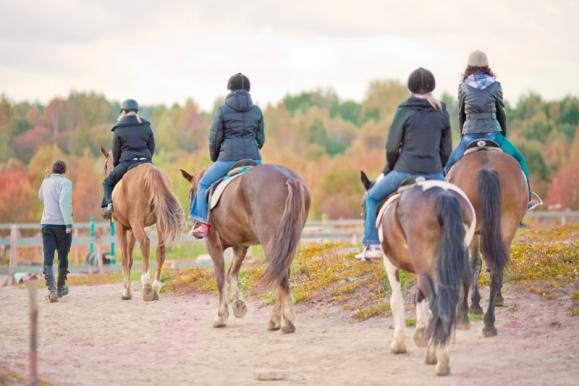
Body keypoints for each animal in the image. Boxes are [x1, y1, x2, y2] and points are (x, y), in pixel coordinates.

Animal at [101, 146, 185, 300]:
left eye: (105, 166)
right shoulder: (132, 230)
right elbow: (130, 259)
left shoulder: (121, 227)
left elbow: (124, 257)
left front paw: (126, 291)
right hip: (159, 223)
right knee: (160, 249)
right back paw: (155, 288)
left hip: (137, 223)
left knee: (145, 243)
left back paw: (146, 286)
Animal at [180, 164, 310, 334]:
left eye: (190, 193)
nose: (195, 225)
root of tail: (288, 177)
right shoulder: (240, 246)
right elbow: (231, 274)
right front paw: (238, 305)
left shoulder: (213, 244)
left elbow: (220, 278)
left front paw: (221, 316)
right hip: (287, 243)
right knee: (282, 273)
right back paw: (275, 320)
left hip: (272, 241)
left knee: (281, 277)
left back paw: (287, 321)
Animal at [360, 173, 478, 376]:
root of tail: (444, 196)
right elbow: (419, 297)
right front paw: (421, 332)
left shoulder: (390, 263)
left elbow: (396, 300)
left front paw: (399, 344)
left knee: (438, 303)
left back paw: (439, 359)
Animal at [448, 146, 532, 336]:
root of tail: (488, 169)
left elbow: (473, 265)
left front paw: (471, 306)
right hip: (506, 226)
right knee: (497, 267)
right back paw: (490, 323)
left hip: (473, 230)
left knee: (472, 266)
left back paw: (465, 316)